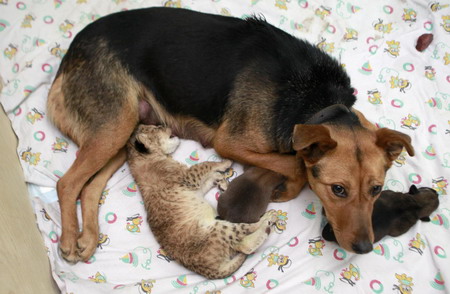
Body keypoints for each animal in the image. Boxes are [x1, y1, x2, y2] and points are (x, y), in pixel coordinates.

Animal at [46, 6, 414, 260]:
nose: (365, 248)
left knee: (89, 187)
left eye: (377, 190)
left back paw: (88, 238)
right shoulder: (230, 143)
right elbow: (294, 162)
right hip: (115, 125)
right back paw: (68, 240)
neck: (317, 101)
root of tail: (67, 59)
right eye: (338, 190)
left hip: (120, 135)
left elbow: (293, 159)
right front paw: (288, 188)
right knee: (67, 184)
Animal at [125, 125, 276, 280]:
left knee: (241, 245)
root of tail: (209, 270)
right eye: (157, 128)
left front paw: (221, 180)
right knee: (246, 240)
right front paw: (226, 162)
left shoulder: (196, 187)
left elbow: (210, 178)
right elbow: (205, 165)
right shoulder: (189, 178)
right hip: (220, 229)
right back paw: (268, 219)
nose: (166, 126)